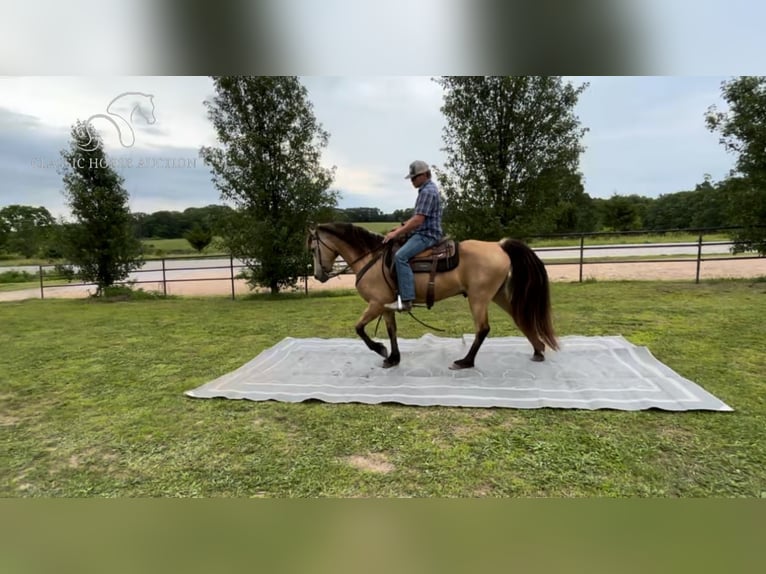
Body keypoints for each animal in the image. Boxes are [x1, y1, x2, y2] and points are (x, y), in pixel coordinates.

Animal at [308, 223, 560, 372]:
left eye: (312, 248)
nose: (318, 275)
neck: (371, 259)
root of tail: (499, 245)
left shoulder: (376, 304)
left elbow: (359, 328)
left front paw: (380, 349)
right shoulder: (386, 306)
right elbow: (392, 331)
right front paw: (393, 358)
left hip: (478, 298)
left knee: (483, 329)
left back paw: (465, 362)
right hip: (498, 295)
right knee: (520, 318)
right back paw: (538, 350)